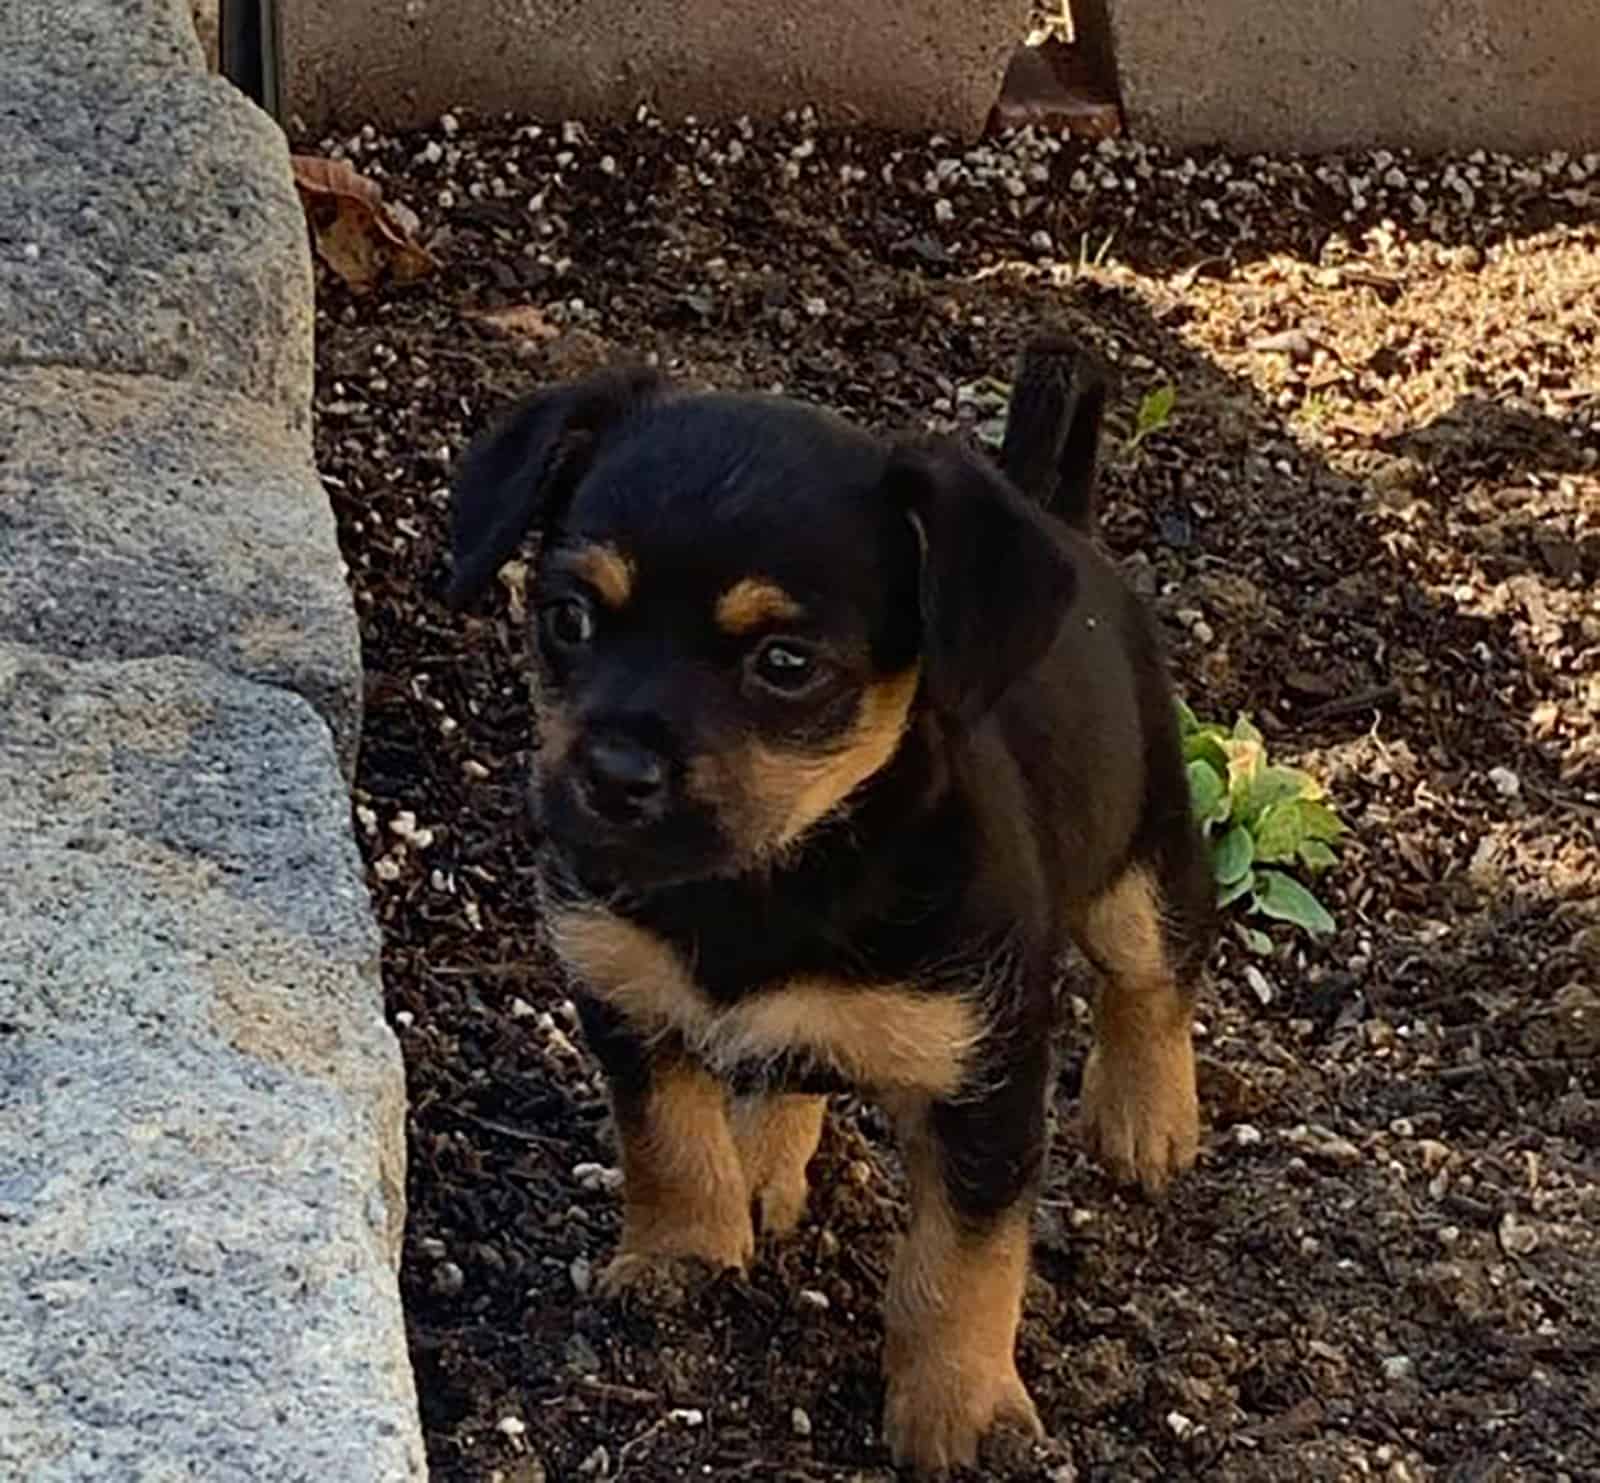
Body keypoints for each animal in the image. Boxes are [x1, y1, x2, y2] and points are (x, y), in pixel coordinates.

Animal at [448, 348, 1209, 1471]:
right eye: (567, 617)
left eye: (785, 664)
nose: (615, 773)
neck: (777, 870)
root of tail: (1059, 516)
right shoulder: (622, 992)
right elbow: (666, 1139)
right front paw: (682, 1260)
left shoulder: (985, 1078)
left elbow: (962, 1260)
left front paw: (960, 1407)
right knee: (791, 1068)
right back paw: (764, 1160)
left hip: (1142, 862)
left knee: (1155, 977)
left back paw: (1146, 1118)